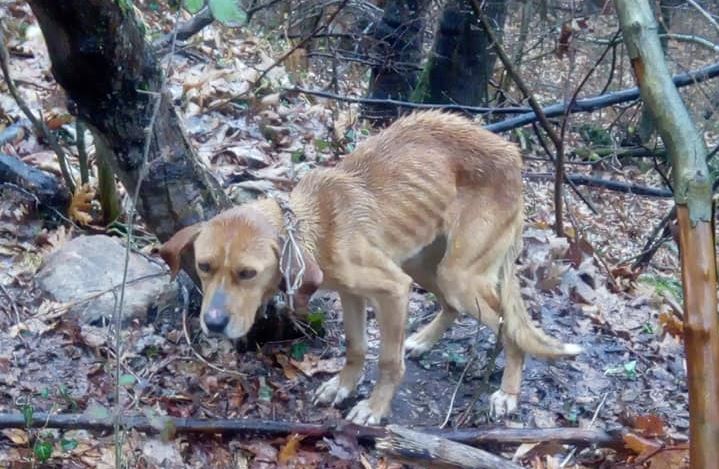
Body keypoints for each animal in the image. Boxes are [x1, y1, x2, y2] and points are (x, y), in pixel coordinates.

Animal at [159, 109, 584, 424]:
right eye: (204, 267)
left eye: (247, 273)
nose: (213, 324)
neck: (315, 225)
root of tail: (512, 154)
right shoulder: (353, 294)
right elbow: (356, 347)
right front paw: (342, 386)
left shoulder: (393, 289)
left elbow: (387, 360)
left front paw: (375, 408)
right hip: (424, 266)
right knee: (451, 306)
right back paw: (423, 340)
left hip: (455, 275)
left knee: (509, 328)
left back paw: (508, 392)